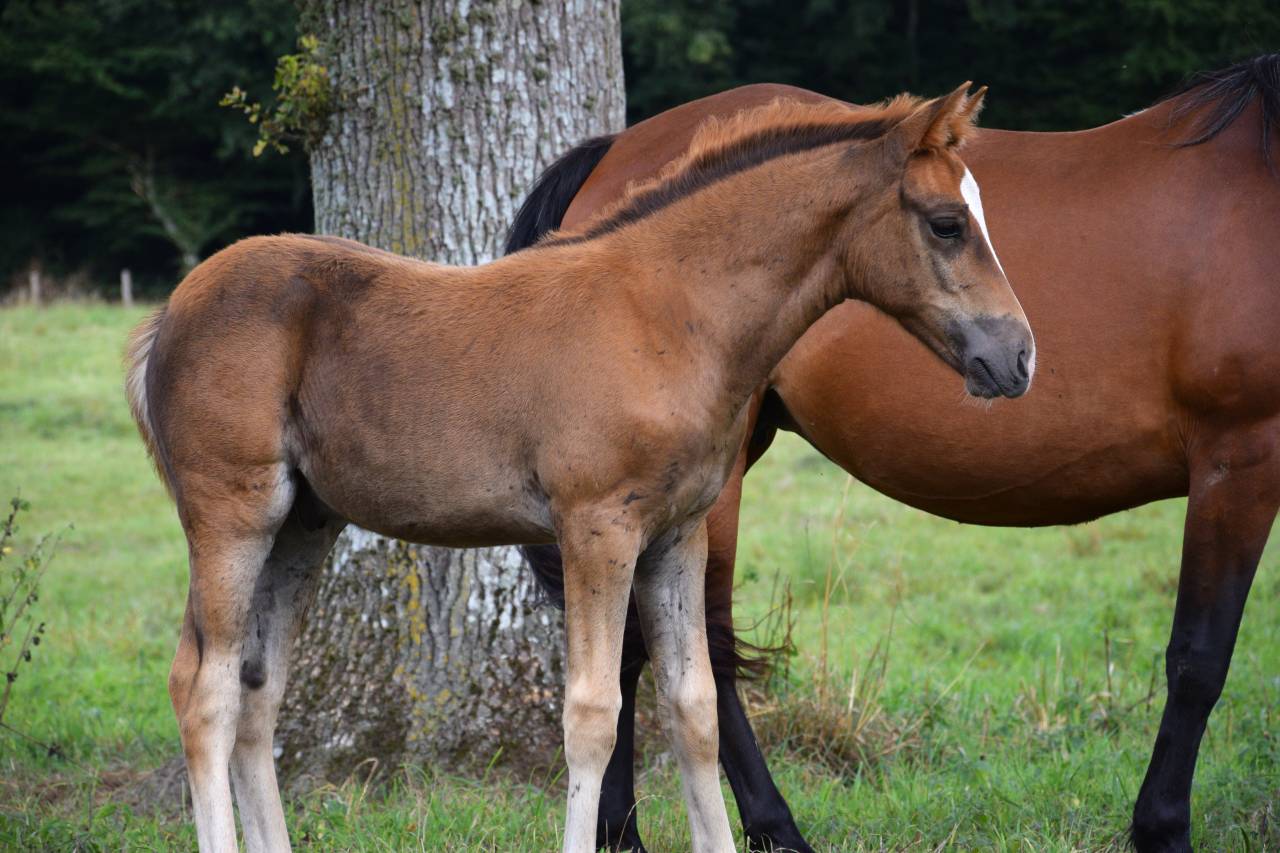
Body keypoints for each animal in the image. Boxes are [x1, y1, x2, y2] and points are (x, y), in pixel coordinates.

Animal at [126, 86, 1032, 853]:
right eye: (948, 223)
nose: (1017, 357)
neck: (668, 312)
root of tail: (171, 313)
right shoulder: (598, 526)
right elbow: (594, 713)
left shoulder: (678, 533)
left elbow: (694, 707)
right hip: (233, 513)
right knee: (204, 689)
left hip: (303, 525)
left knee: (259, 692)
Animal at [510, 54, 1280, 853]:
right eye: (946, 225)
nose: (1019, 356)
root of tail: (617, 152)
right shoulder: (1241, 456)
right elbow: (1200, 658)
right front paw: (1163, 828)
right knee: (693, 653)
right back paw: (758, 828)